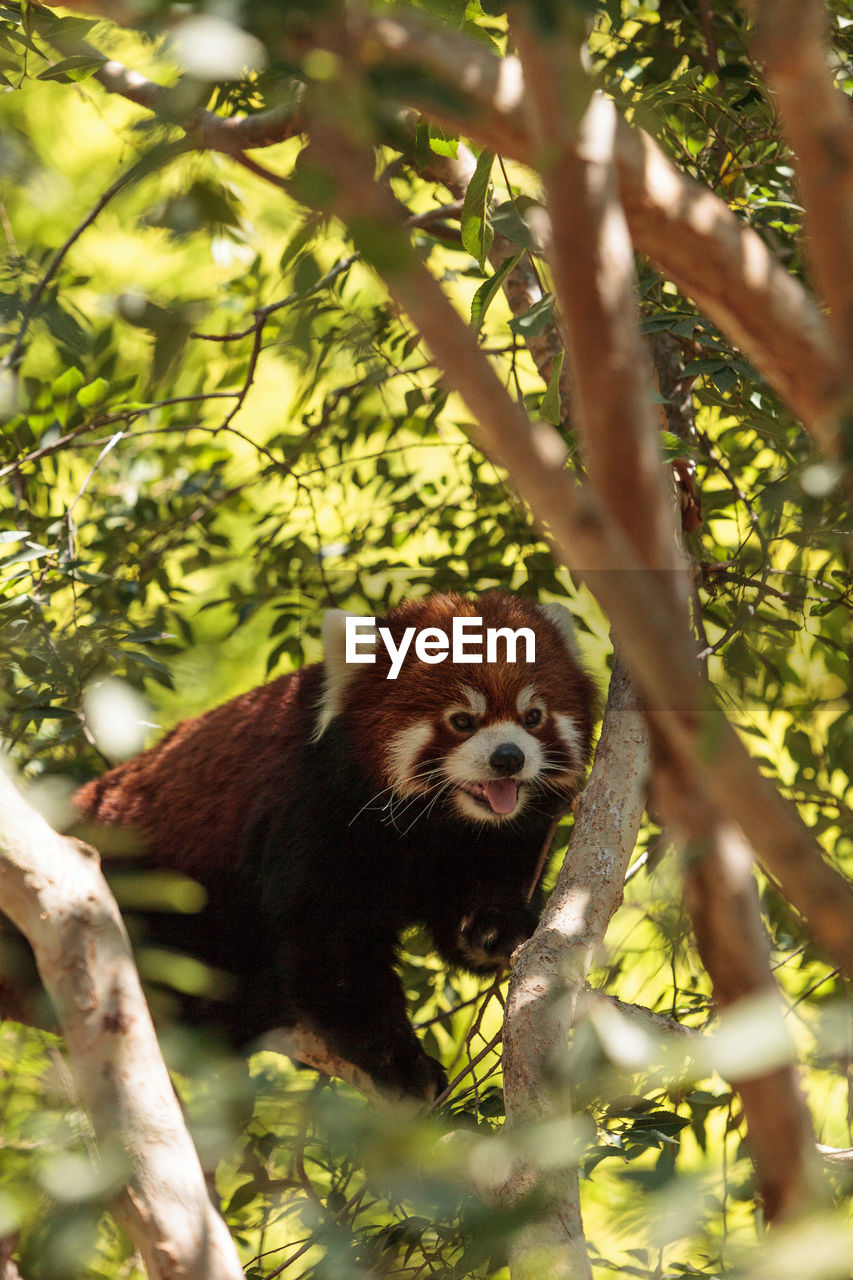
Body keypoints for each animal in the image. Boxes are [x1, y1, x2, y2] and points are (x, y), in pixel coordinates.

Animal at [76, 593, 594, 1095]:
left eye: (533, 717)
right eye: (462, 720)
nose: (509, 758)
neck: (437, 821)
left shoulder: (496, 840)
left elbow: (485, 891)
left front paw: (493, 930)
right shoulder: (315, 809)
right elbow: (331, 945)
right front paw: (403, 1063)